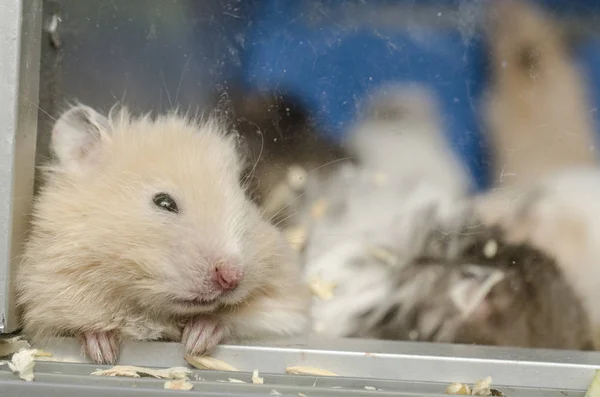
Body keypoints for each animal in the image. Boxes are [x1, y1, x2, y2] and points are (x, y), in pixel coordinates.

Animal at [16, 104, 312, 362]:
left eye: (244, 201)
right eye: (164, 202)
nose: (232, 277)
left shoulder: (284, 305)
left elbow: (236, 317)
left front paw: (196, 341)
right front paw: (103, 353)